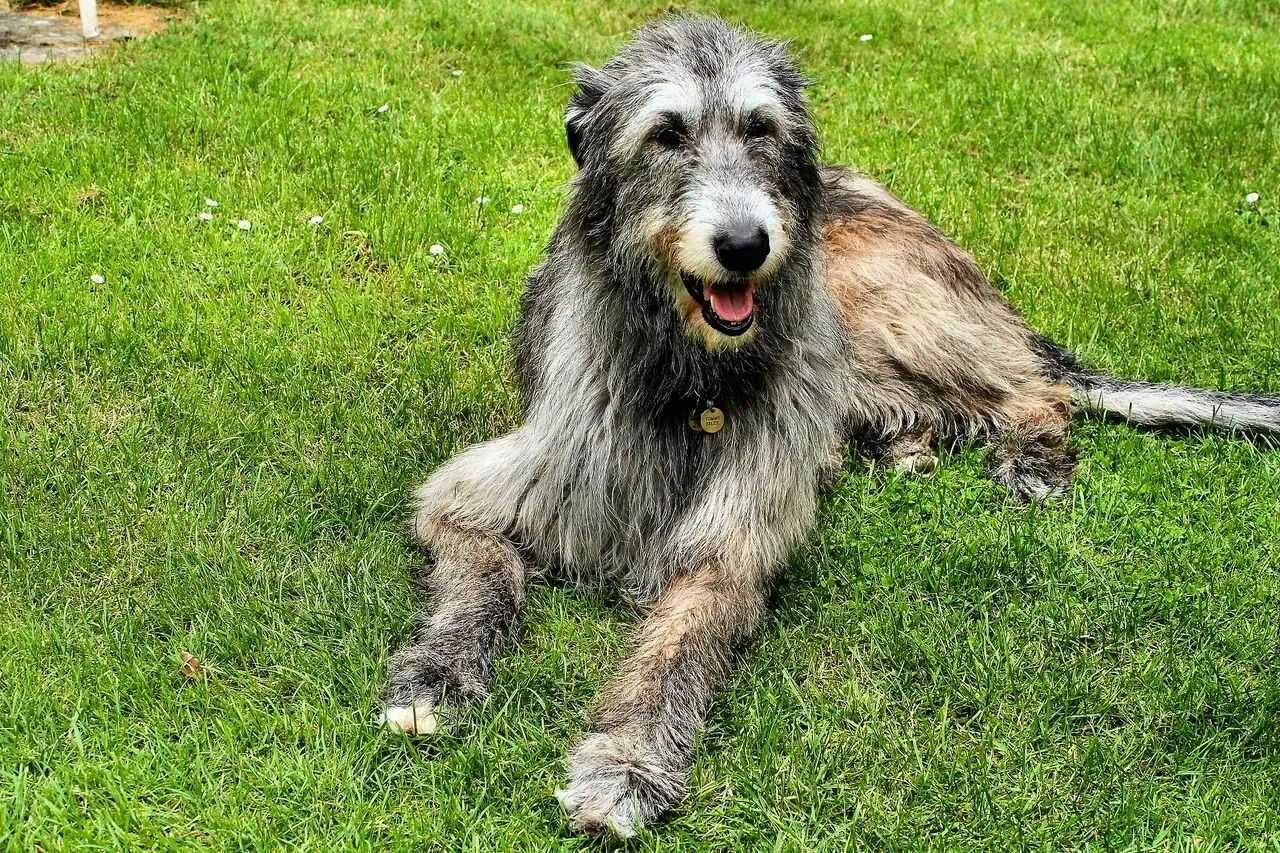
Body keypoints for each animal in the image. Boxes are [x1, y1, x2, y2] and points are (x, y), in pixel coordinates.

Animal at [376, 14, 1280, 835]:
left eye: (760, 127)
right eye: (666, 133)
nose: (745, 244)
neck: (692, 376)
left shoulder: (731, 542)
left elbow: (677, 646)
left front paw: (627, 763)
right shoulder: (505, 481)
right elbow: (482, 576)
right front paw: (436, 676)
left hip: (866, 303)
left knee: (1033, 387)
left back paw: (1029, 456)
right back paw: (899, 451)